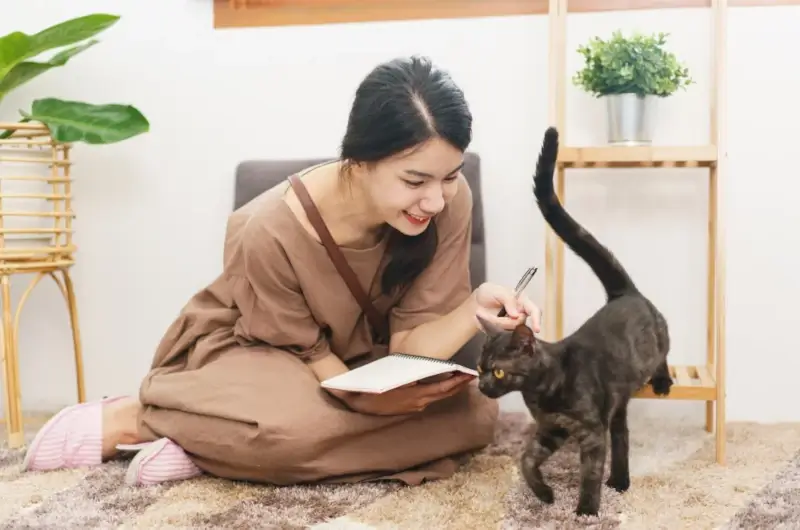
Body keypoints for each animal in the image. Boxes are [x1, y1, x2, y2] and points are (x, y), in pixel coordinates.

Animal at [478, 126, 672, 512]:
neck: (542, 390)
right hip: (617, 400)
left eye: (499, 372)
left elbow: (590, 474)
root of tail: (624, 293)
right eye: (479, 368)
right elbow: (526, 460)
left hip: (657, 343)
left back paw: (662, 381)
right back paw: (621, 480)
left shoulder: (590, 432)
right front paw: (544, 493)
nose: (481, 386)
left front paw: (585, 511)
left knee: (664, 356)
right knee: (622, 434)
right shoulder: (551, 430)